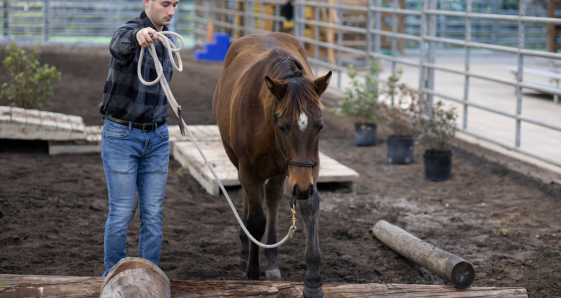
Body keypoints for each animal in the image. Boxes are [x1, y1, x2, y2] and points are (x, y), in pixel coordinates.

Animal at [212, 32, 330, 298]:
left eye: (319, 125)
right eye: (283, 126)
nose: (302, 189)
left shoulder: (307, 169)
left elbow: (309, 208)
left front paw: (313, 280)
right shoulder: (249, 168)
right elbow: (256, 220)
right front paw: (253, 271)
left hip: (282, 171)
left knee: (273, 199)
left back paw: (272, 260)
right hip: (239, 161)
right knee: (249, 199)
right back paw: (246, 248)